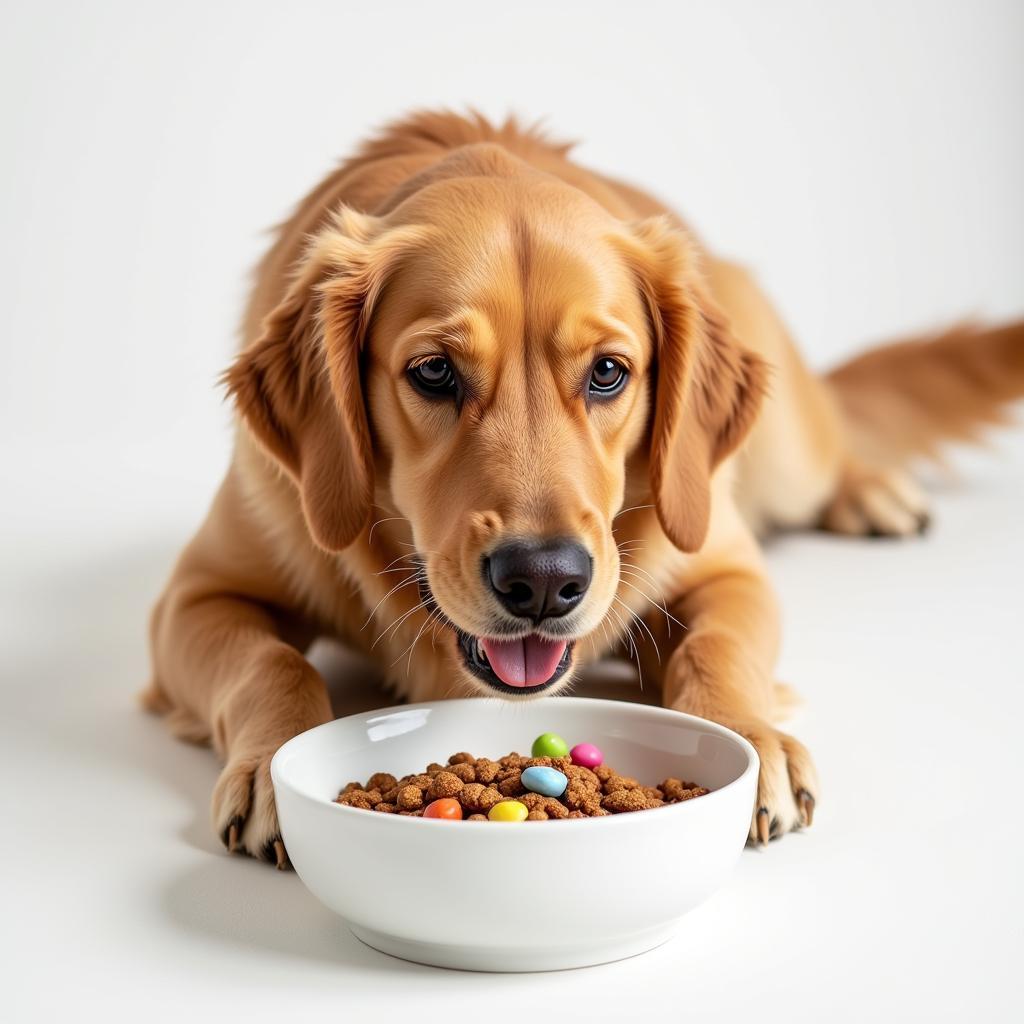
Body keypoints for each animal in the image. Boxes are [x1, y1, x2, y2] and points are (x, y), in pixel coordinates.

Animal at [144, 110, 1024, 864]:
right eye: (433, 372)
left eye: (608, 372)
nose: (542, 581)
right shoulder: (195, 596)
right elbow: (273, 665)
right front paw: (269, 764)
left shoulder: (727, 564)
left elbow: (717, 646)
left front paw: (752, 735)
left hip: (787, 452)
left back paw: (872, 490)